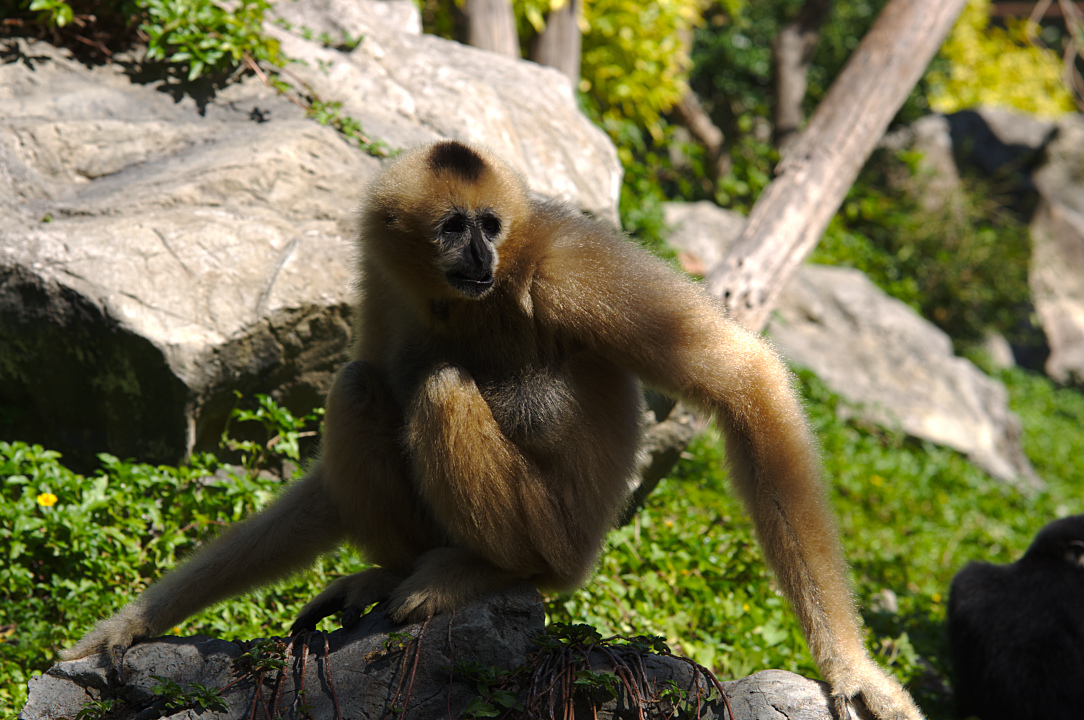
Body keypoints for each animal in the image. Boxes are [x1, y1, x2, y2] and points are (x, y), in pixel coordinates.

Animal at [63, 139, 922, 720]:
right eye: (452, 227)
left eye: (490, 225)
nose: (478, 254)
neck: (479, 292)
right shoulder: (384, 284)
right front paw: (128, 626)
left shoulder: (572, 269)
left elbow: (744, 378)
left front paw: (851, 671)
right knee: (363, 387)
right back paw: (388, 574)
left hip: (554, 536)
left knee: (437, 389)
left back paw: (482, 572)